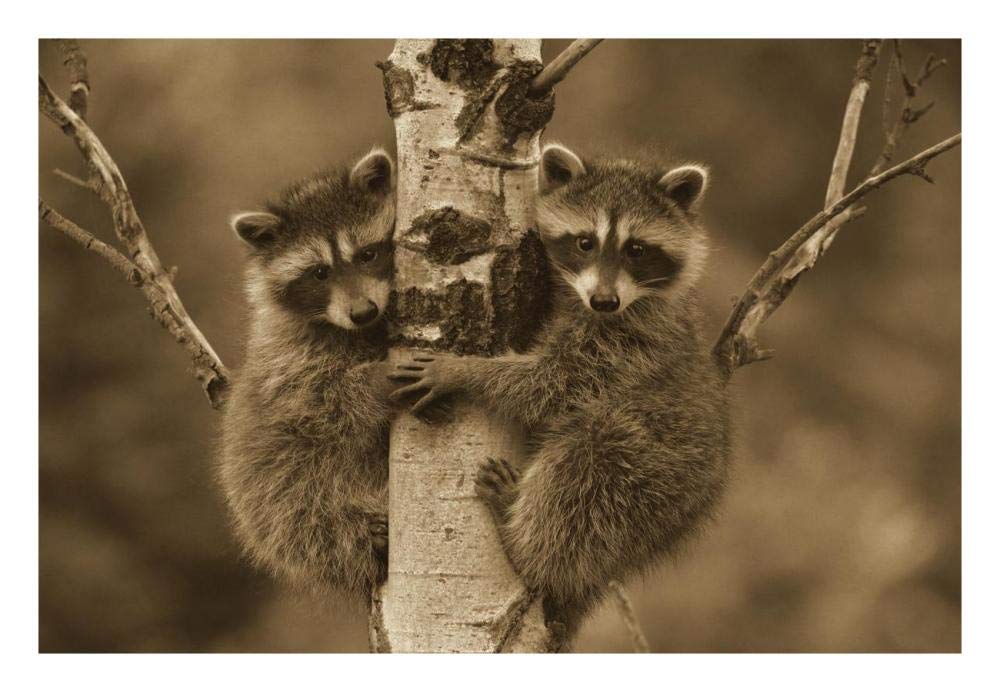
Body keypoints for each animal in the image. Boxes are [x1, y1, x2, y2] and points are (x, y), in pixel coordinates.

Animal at [218, 149, 397, 600]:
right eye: (319, 273)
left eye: (367, 254)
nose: (363, 312)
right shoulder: (288, 359)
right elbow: (321, 404)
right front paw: (375, 381)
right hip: (279, 502)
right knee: (309, 517)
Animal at [389, 144, 731, 642]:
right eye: (585, 242)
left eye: (637, 249)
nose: (604, 301)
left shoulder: (627, 346)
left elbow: (550, 385)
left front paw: (464, 371)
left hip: (654, 476)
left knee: (587, 464)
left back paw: (523, 542)